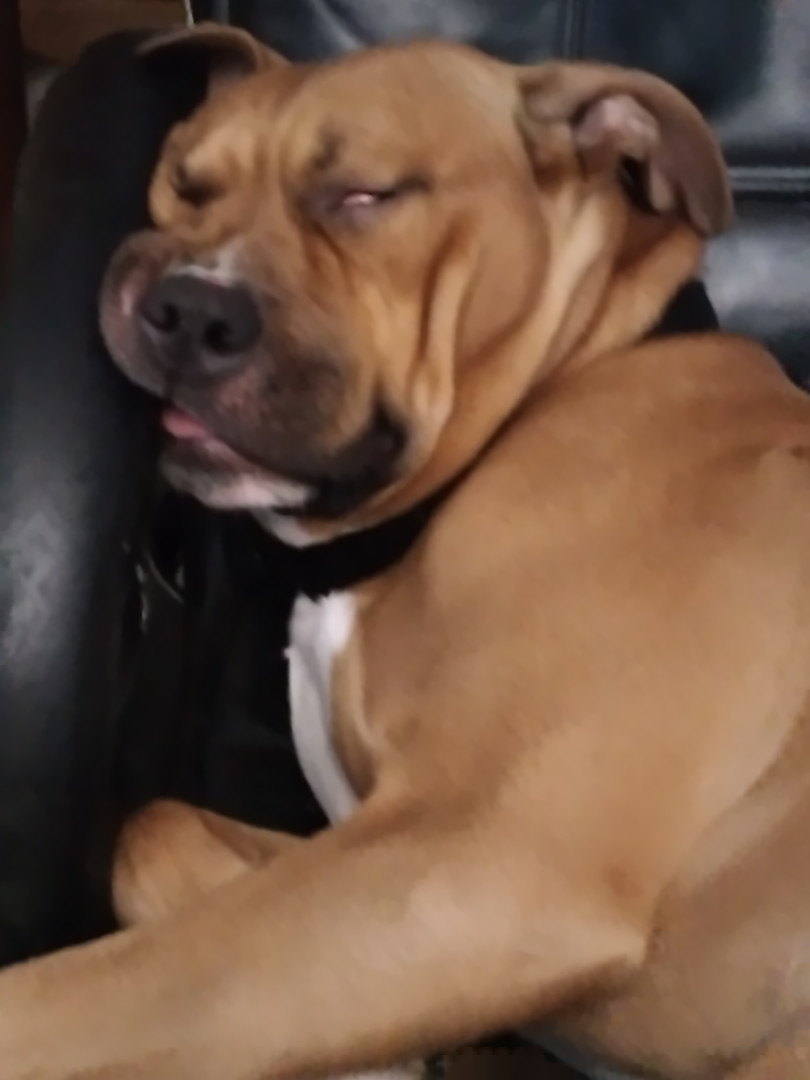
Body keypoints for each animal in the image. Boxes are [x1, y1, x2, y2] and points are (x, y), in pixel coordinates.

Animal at [2, 22, 810, 1080]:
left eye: (365, 197)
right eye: (184, 182)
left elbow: (72, 1003)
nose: (187, 308)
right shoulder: (370, 860)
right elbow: (155, 828)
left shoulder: (475, 865)